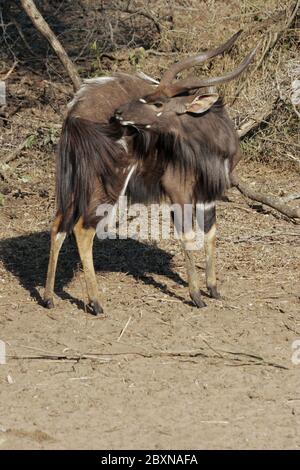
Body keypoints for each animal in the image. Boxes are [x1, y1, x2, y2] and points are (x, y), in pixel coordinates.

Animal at [44, 31, 255, 314]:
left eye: (157, 102)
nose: (119, 113)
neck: (212, 145)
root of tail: (75, 110)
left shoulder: (208, 195)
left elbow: (210, 233)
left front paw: (213, 289)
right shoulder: (178, 190)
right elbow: (188, 236)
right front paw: (196, 296)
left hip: (75, 181)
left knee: (58, 224)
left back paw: (48, 298)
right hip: (109, 183)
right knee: (82, 228)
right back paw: (96, 302)